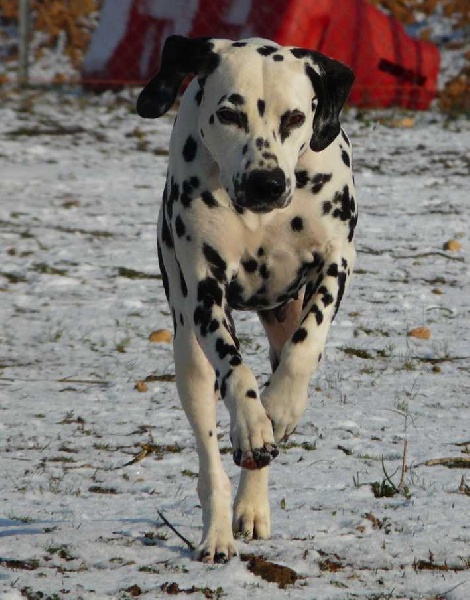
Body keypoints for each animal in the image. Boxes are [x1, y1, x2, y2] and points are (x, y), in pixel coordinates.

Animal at [137, 35, 357, 563]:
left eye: (295, 117)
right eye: (229, 114)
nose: (266, 183)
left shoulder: (337, 261)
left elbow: (306, 346)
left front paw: (280, 407)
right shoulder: (204, 292)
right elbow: (236, 370)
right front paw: (254, 421)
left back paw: (253, 504)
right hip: (187, 355)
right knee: (210, 457)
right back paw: (218, 530)